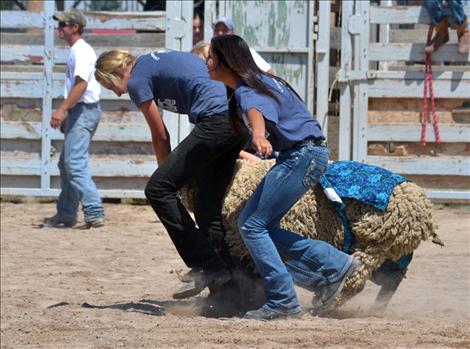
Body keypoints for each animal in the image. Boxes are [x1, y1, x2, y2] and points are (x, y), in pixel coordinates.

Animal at [180, 158, 440, 310]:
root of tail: (422, 204)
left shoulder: (249, 241)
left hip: (375, 243)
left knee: (357, 278)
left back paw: (328, 303)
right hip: (390, 252)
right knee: (392, 278)